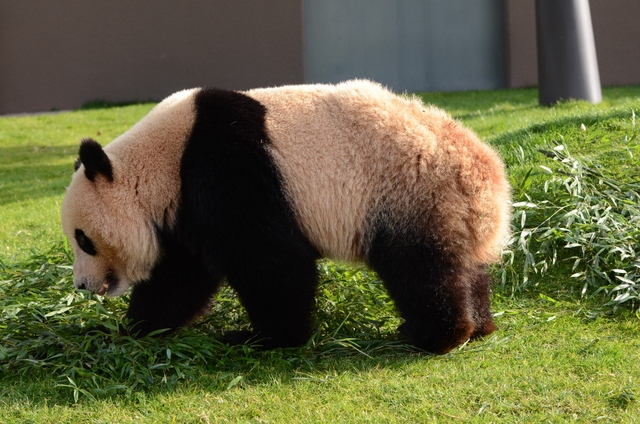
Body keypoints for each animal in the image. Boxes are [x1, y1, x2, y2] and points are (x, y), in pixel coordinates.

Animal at [60, 79, 510, 354]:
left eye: (83, 239)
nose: (83, 286)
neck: (163, 160)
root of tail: (485, 176)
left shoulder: (226, 166)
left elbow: (269, 260)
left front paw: (262, 337)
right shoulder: (186, 206)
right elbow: (181, 277)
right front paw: (128, 330)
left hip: (407, 191)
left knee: (421, 267)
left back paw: (437, 335)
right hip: (446, 206)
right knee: (465, 266)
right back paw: (479, 326)